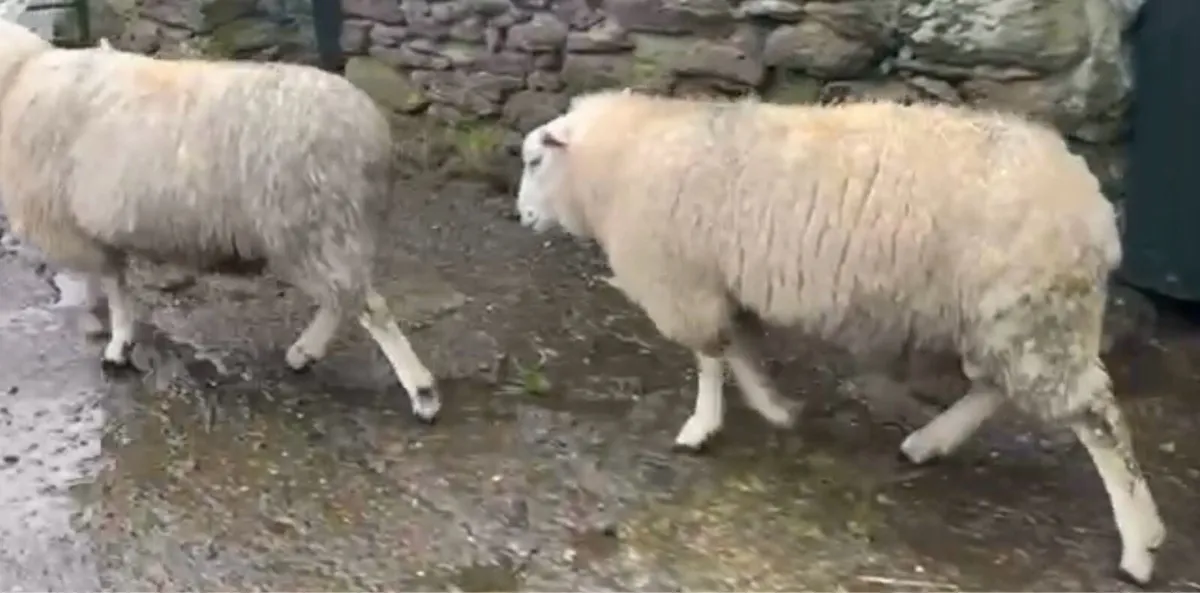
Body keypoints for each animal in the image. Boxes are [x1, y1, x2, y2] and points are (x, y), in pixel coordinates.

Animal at [0, 19, 441, 422]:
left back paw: (422, 393)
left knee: (367, 306)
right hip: (316, 234)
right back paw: (305, 353)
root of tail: (373, 134)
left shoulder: (71, 222)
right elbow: (114, 283)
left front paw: (116, 345)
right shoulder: (90, 227)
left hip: (316, 227)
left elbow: (115, 288)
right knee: (343, 300)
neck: (19, 73)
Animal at [514, 88, 1166, 585]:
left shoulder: (683, 280)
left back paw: (1139, 546)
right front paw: (774, 406)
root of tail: (1094, 209)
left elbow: (708, 357)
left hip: (1036, 313)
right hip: (1007, 314)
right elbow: (738, 348)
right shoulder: (720, 282)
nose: (522, 218)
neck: (621, 159)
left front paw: (702, 427)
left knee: (1099, 420)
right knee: (998, 387)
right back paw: (930, 442)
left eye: (535, 163)